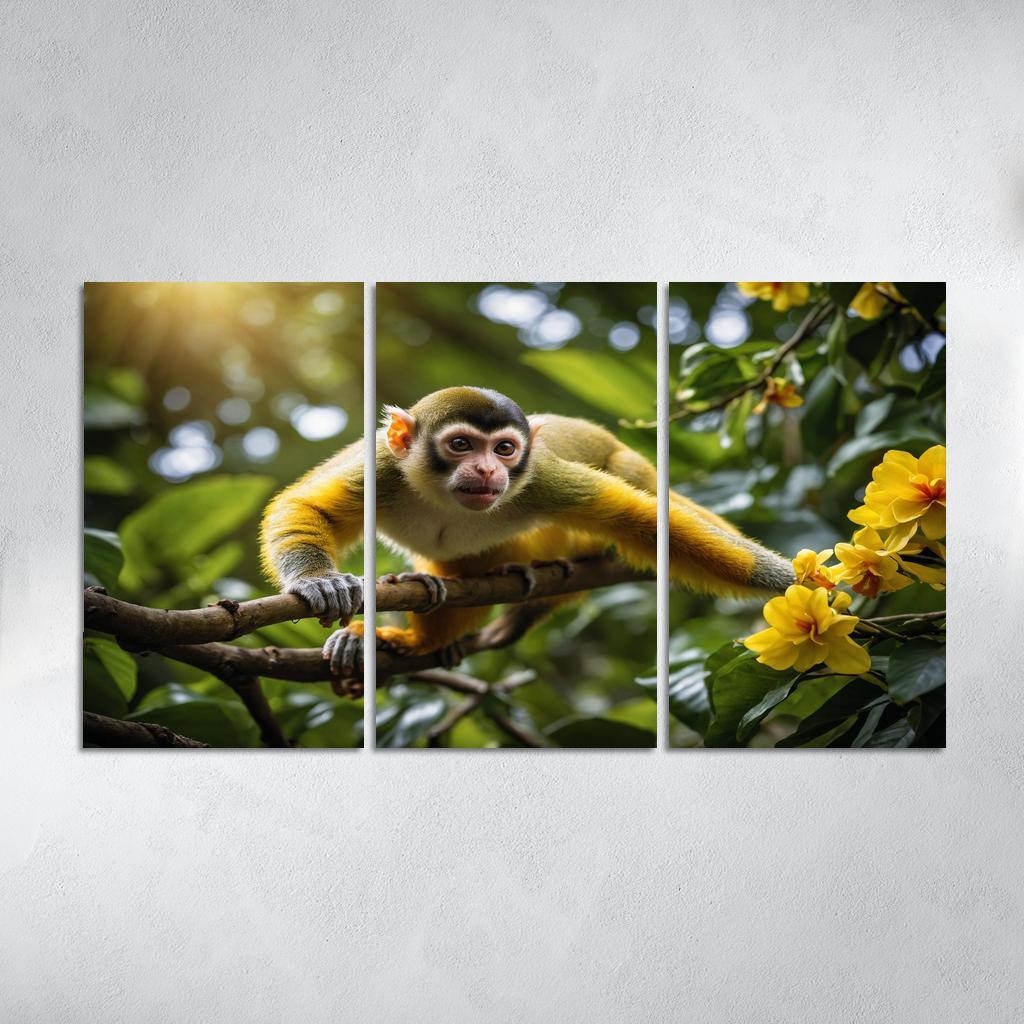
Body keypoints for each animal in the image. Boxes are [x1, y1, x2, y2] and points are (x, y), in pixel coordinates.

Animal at [260, 386, 795, 683]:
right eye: (460, 445)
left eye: (504, 449)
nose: (486, 470)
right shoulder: (383, 465)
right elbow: (305, 506)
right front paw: (319, 581)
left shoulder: (536, 477)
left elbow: (640, 519)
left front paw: (790, 582)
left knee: (629, 478)